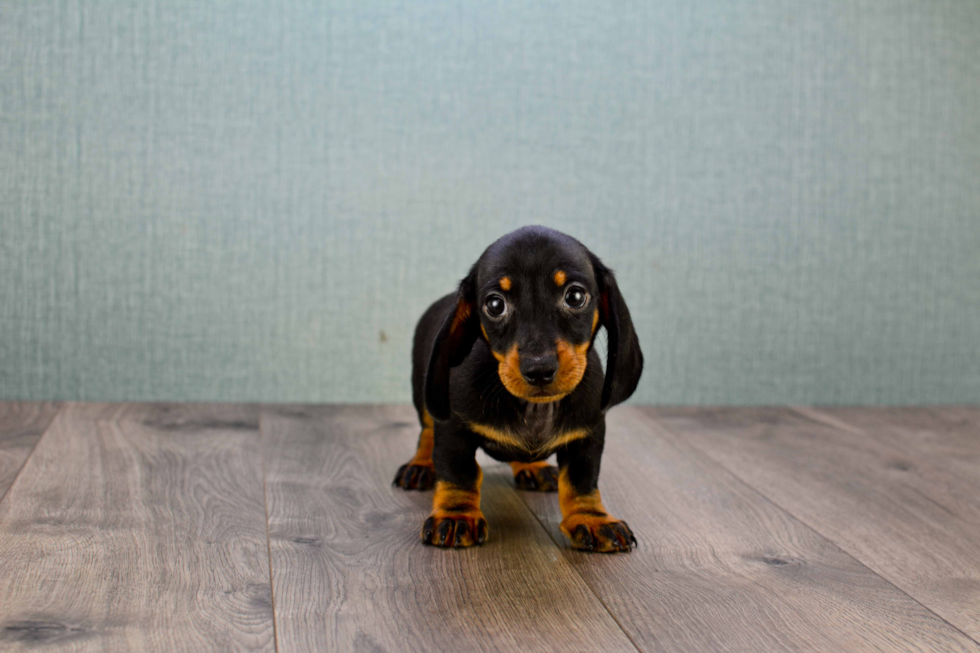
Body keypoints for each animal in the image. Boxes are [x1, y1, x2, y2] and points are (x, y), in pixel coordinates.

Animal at [390, 224, 644, 552]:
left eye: (575, 296)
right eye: (495, 304)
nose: (539, 369)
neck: (536, 408)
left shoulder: (588, 435)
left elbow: (581, 482)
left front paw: (592, 518)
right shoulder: (453, 430)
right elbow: (459, 474)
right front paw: (457, 515)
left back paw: (532, 468)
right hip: (425, 399)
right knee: (426, 432)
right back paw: (420, 465)